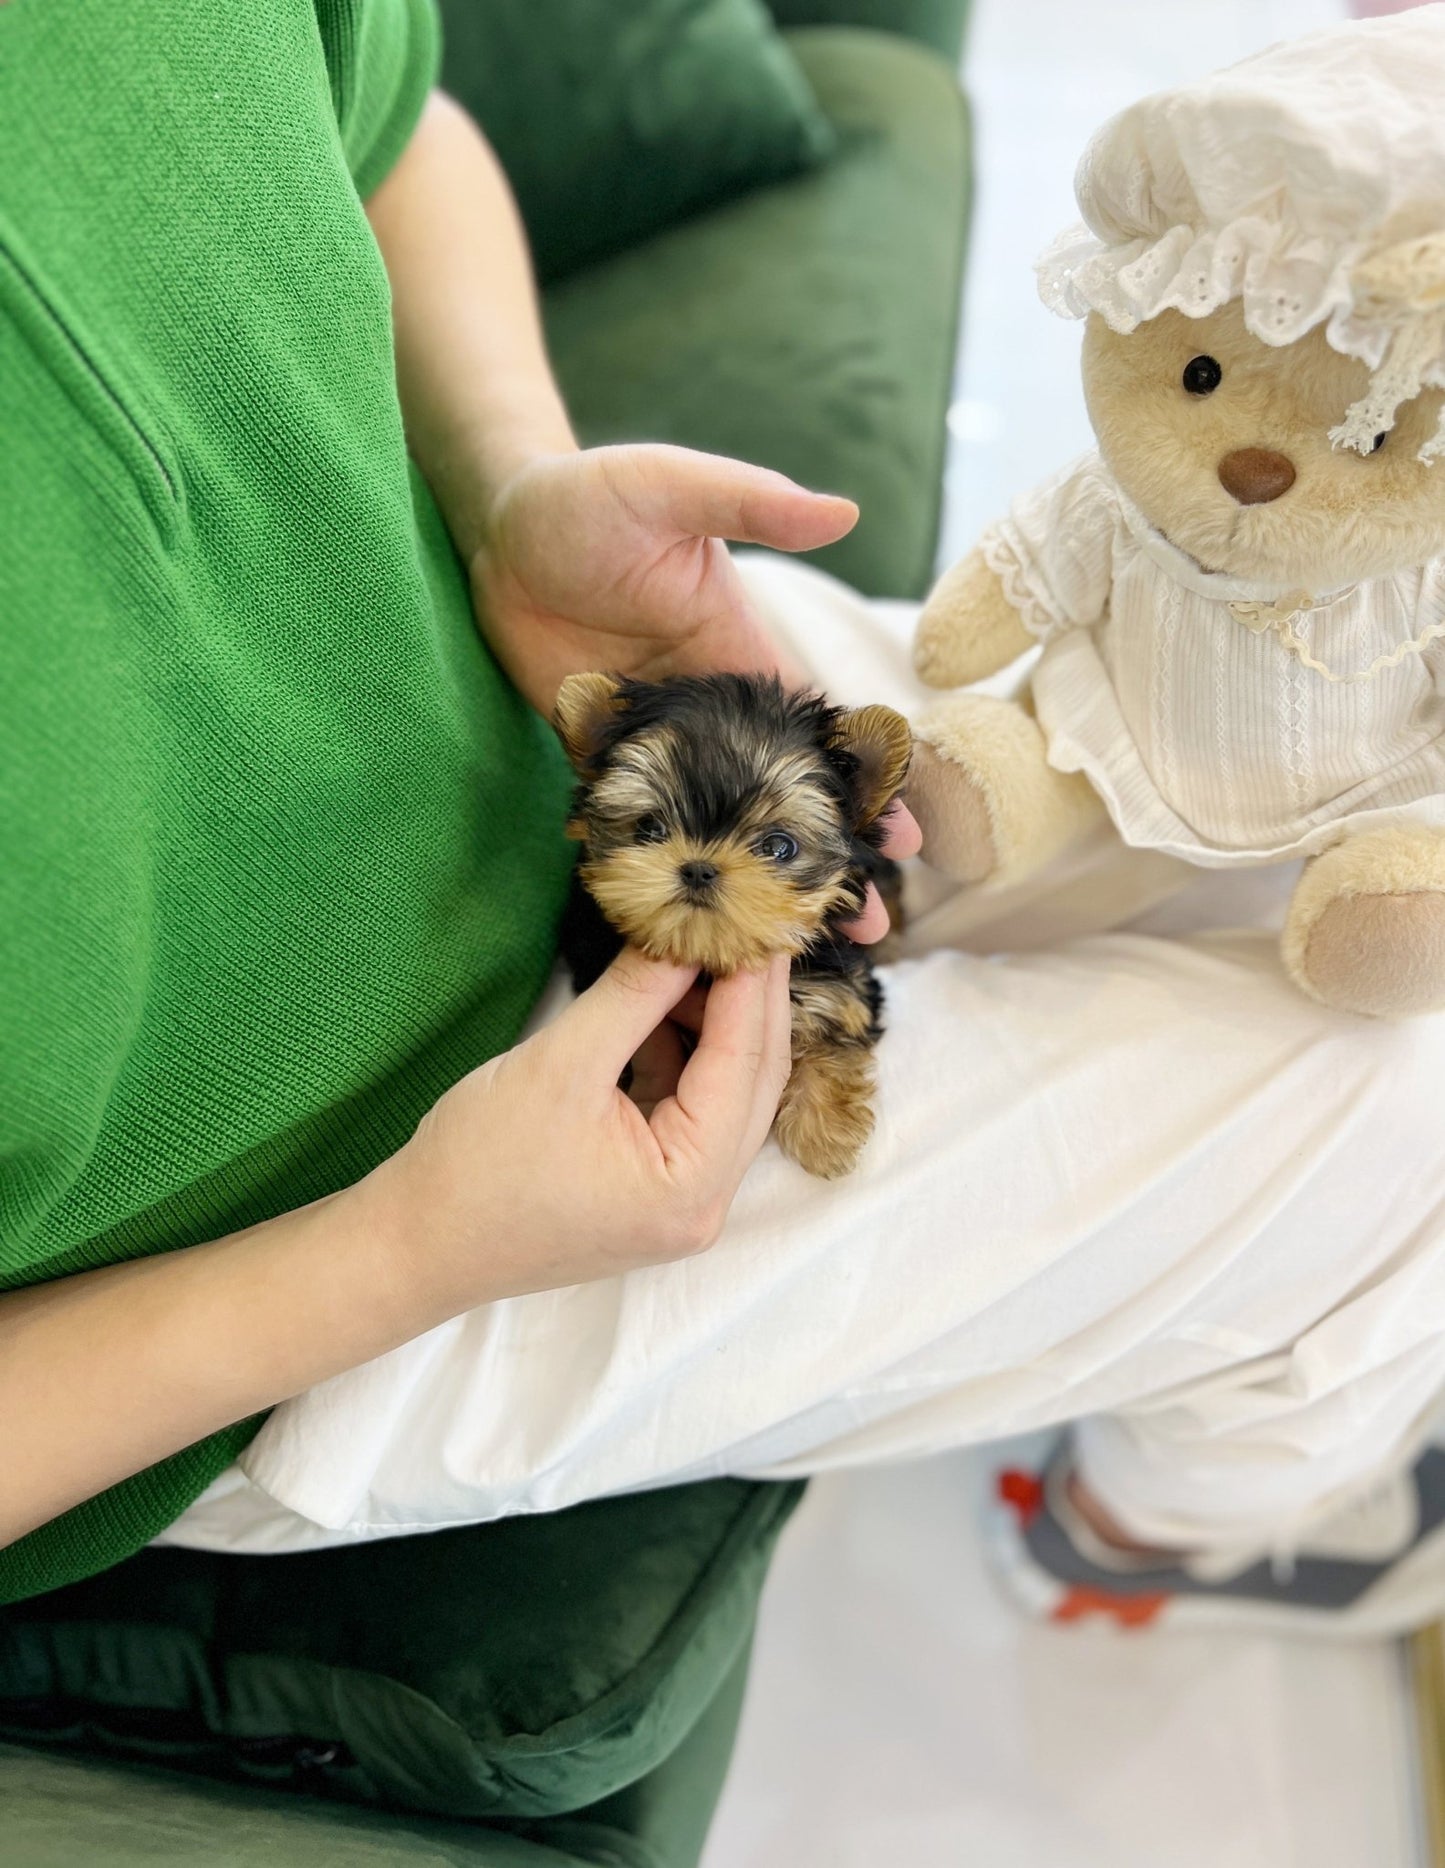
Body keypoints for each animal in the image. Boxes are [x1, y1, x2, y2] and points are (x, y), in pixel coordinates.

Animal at [556, 676, 911, 1180]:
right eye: (649, 828)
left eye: (779, 847)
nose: (699, 868)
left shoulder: (837, 980)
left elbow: (836, 1025)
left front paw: (824, 1132)